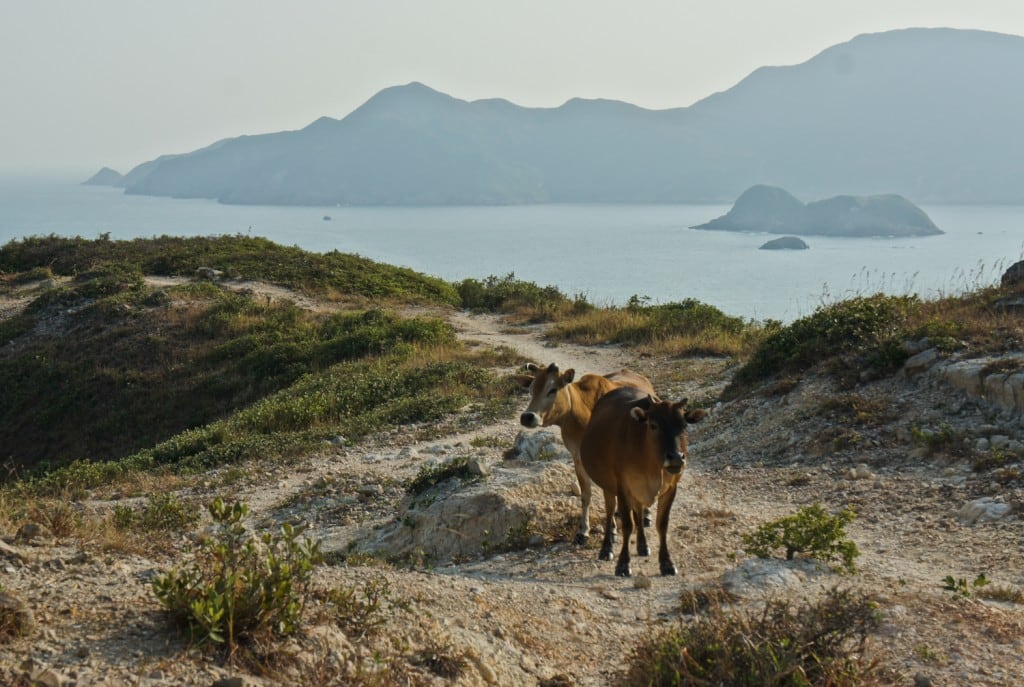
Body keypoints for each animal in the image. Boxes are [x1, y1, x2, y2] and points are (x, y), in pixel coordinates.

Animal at [512, 362, 655, 544]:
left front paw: (612, 531)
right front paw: (583, 531)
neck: (583, 412)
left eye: (552, 389)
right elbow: (586, 494)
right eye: (531, 389)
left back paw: (646, 515)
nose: (527, 417)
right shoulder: (578, 458)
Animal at [581, 387, 708, 573]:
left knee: (639, 512)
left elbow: (661, 524)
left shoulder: (671, 488)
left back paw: (642, 545)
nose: (676, 458)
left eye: (684, 425)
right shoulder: (623, 486)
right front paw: (623, 564)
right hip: (608, 486)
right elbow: (627, 525)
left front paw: (667, 563)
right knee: (610, 511)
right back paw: (606, 548)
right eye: (653, 425)